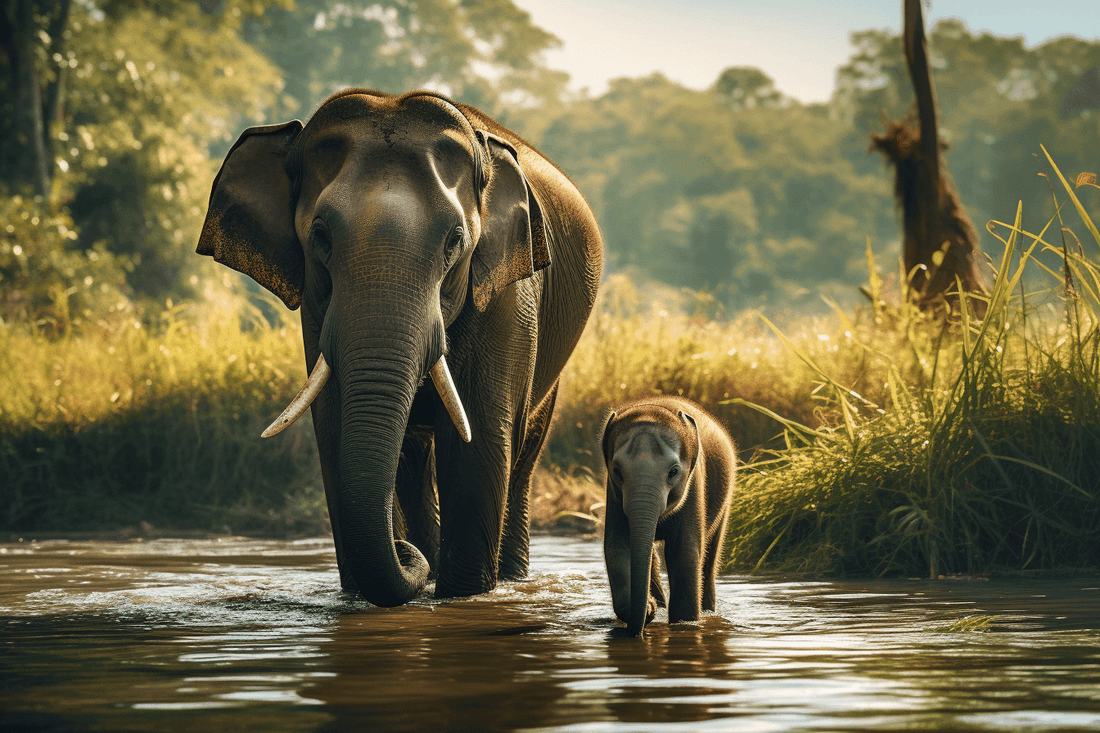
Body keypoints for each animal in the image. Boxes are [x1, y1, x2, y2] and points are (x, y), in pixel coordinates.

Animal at [195, 89, 602, 603]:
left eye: (454, 241)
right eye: (320, 237)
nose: (406, 553)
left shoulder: (507, 295)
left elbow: (480, 438)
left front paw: (461, 596)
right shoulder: (315, 309)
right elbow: (334, 428)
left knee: (521, 451)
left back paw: (500, 575)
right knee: (413, 457)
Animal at [602, 396, 739, 629]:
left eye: (674, 472)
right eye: (617, 471)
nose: (648, 609)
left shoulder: (694, 484)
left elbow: (683, 552)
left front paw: (683, 623)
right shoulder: (613, 495)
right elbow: (617, 546)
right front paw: (650, 608)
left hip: (725, 503)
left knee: (709, 558)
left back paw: (707, 610)